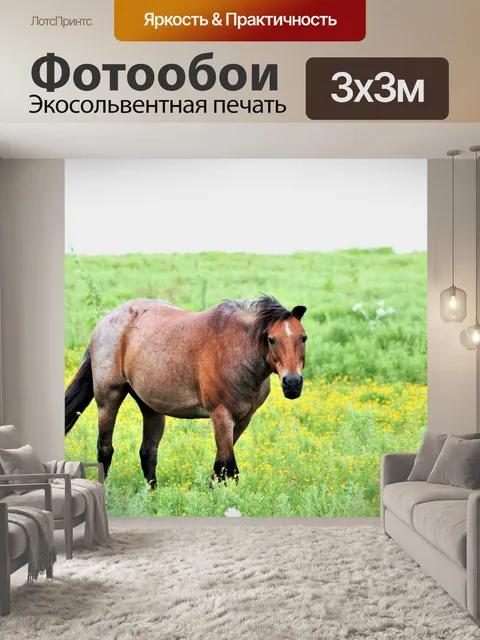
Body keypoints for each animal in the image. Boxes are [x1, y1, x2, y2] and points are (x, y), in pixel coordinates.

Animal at [65, 295, 308, 487]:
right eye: (271, 339)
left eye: (303, 338)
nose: (292, 383)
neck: (236, 350)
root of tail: (106, 321)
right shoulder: (221, 415)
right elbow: (229, 468)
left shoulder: (242, 420)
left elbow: (219, 466)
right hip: (108, 398)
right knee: (105, 449)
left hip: (151, 407)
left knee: (148, 452)